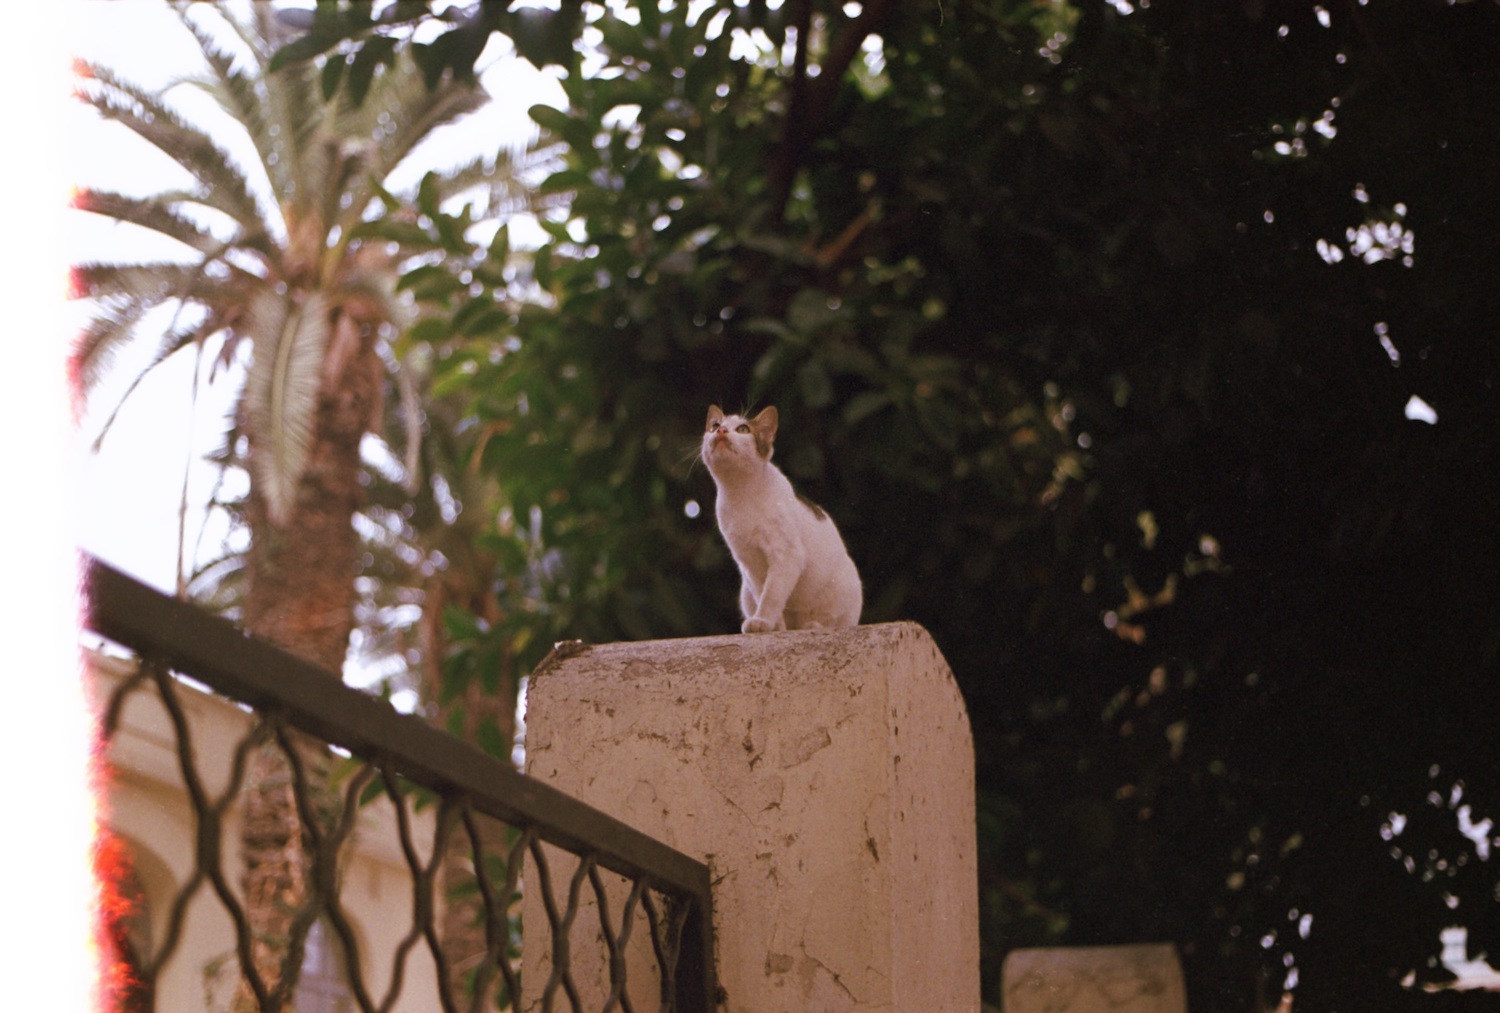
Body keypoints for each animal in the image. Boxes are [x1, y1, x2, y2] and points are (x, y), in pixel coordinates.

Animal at [699, 405, 864, 633]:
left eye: (743, 429)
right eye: (714, 426)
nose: (721, 431)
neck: (741, 493)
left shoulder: (786, 554)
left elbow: (772, 595)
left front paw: (763, 621)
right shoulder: (749, 563)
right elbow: (764, 593)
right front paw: (774, 626)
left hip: (843, 586)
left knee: (832, 620)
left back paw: (812, 625)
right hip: (745, 593)